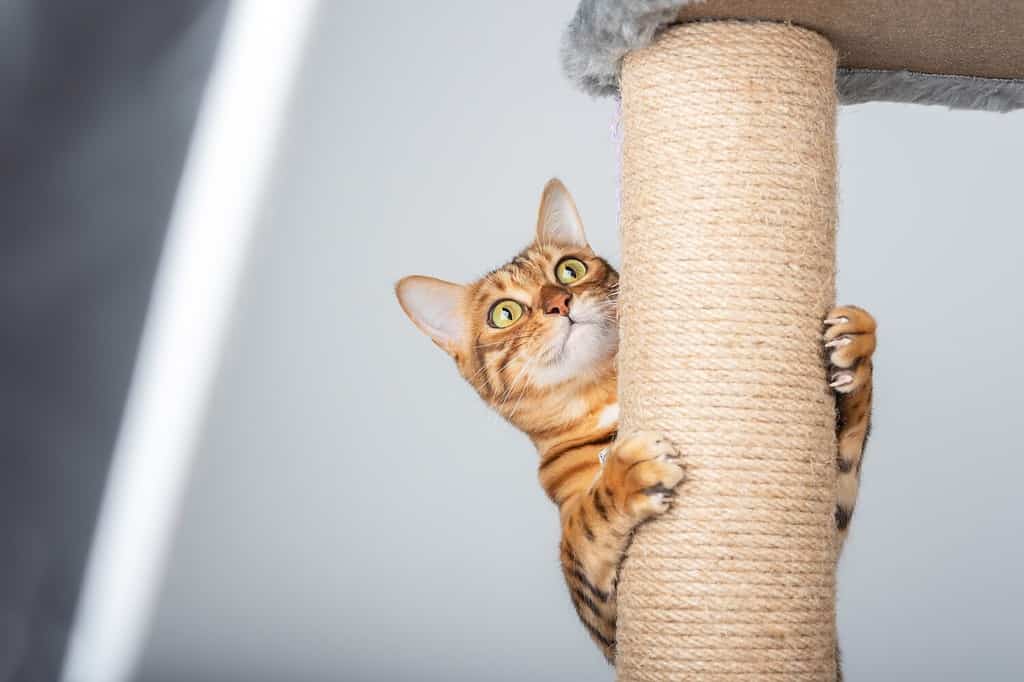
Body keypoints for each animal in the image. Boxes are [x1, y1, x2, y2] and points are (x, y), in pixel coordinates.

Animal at [395, 178, 876, 659]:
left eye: (568, 270)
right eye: (504, 313)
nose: (559, 303)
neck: (605, 397)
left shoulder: (827, 529)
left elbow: (848, 452)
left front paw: (856, 346)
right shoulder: (605, 619)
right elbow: (586, 524)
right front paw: (628, 472)